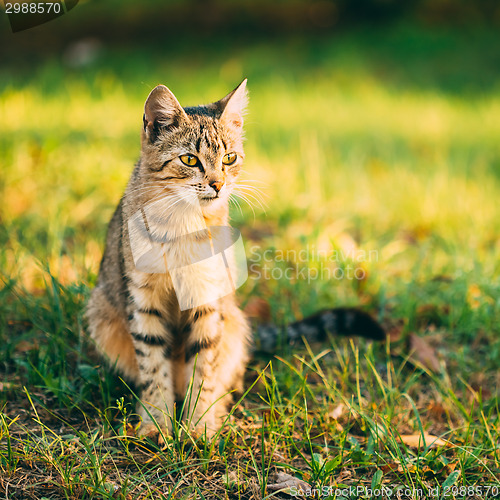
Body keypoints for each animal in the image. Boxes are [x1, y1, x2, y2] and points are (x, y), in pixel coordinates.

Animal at [86, 80, 384, 436]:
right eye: (189, 159)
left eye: (229, 158)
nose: (218, 183)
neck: (184, 225)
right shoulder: (144, 302)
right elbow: (153, 369)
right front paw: (157, 422)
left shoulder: (207, 298)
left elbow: (204, 369)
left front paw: (199, 424)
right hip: (101, 313)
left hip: (234, 323)